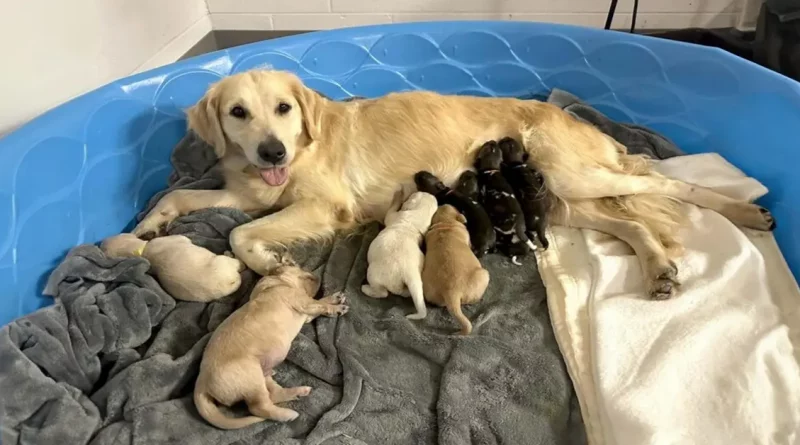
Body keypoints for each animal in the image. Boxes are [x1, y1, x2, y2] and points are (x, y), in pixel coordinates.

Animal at [100, 232, 244, 302]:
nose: (100, 243)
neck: (144, 251)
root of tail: (230, 282)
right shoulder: (176, 238)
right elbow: (184, 237)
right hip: (223, 262)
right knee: (237, 263)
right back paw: (232, 255)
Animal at [194, 258, 346, 428]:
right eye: (297, 267)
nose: (317, 276)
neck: (278, 281)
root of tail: (202, 382)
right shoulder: (302, 301)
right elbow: (317, 303)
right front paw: (336, 307)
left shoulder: (306, 313)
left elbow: (319, 303)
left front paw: (334, 298)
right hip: (251, 377)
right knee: (259, 407)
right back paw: (288, 414)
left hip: (261, 375)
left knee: (273, 394)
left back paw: (298, 393)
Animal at [362, 187, 438, 320]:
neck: (415, 219)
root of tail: (409, 273)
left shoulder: (393, 216)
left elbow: (391, 210)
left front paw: (398, 195)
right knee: (405, 292)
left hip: (374, 274)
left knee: (383, 293)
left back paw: (366, 289)